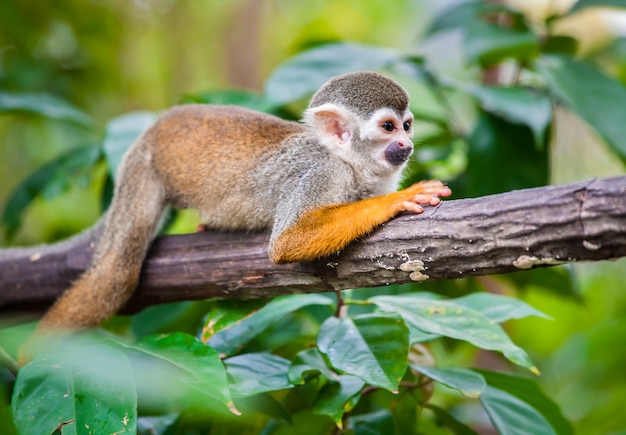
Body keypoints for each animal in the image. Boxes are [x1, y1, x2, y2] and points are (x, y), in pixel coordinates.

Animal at [37, 71, 448, 332]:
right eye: (387, 127)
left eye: (407, 125)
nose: (406, 145)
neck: (348, 162)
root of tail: (155, 127)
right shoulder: (319, 172)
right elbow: (288, 241)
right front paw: (399, 199)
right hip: (144, 166)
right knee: (116, 273)